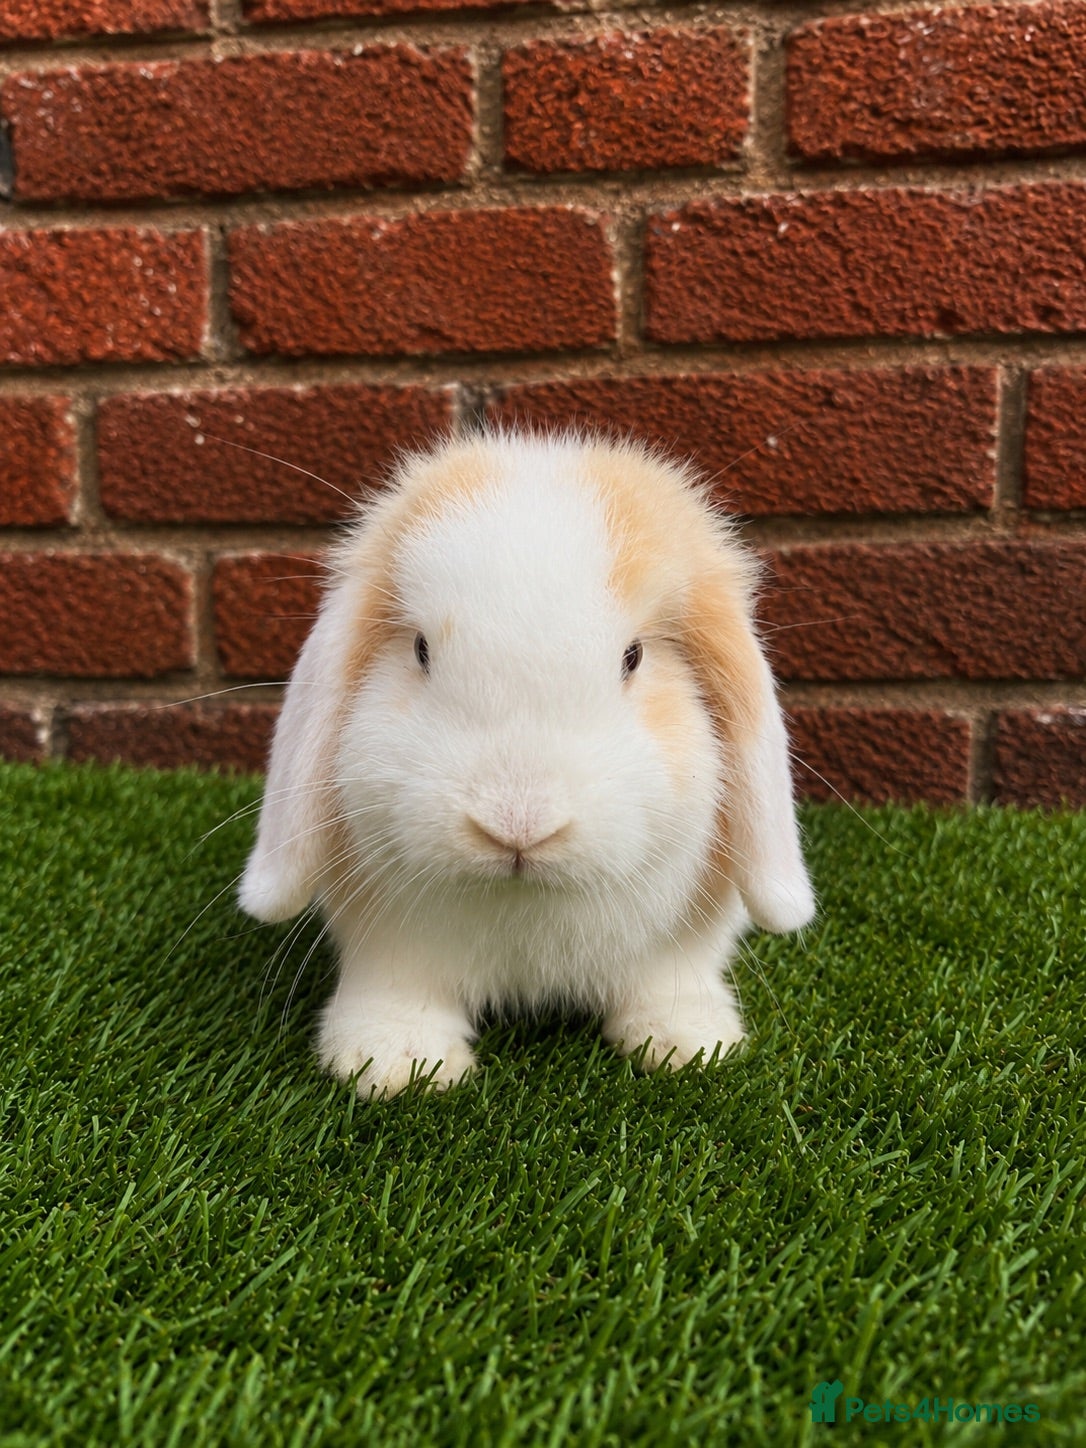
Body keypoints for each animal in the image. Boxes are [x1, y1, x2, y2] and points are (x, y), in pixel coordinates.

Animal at [239, 428, 814, 1098]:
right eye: (421, 650)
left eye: (634, 657)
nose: (517, 825)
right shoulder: (391, 948)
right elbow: (398, 991)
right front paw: (394, 1065)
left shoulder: (682, 943)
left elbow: (668, 979)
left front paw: (689, 1046)